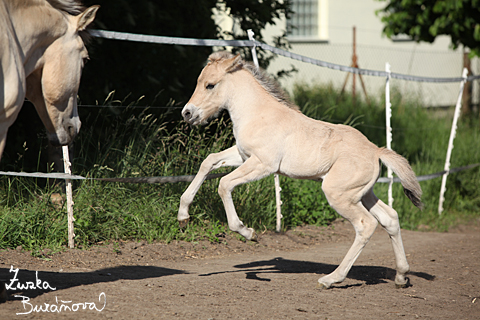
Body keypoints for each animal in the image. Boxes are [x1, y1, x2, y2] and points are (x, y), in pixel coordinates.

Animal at [178, 52, 422, 290]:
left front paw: (248, 233)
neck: (257, 113)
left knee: (366, 225)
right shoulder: (243, 156)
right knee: (390, 218)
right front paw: (183, 216)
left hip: (339, 195)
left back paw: (331, 279)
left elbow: (224, 184)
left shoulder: (263, 165)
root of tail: (375, 151)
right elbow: (208, 162)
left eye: (210, 85)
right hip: (362, 194)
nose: (187, 113)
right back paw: (401, 276)